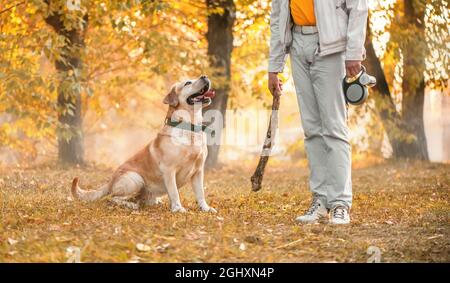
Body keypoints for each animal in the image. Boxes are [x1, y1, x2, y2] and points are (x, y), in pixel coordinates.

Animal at [71, 75, 217, 213]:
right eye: (188, 83)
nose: (204, 76)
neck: (189, 128)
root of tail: (110, 182)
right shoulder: (169, 169)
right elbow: (174, 192)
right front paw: (177, 208)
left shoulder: (198, 171)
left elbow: (200, 193)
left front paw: (205, 208)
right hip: (135, 179)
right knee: (112, 198)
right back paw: (130, 205)